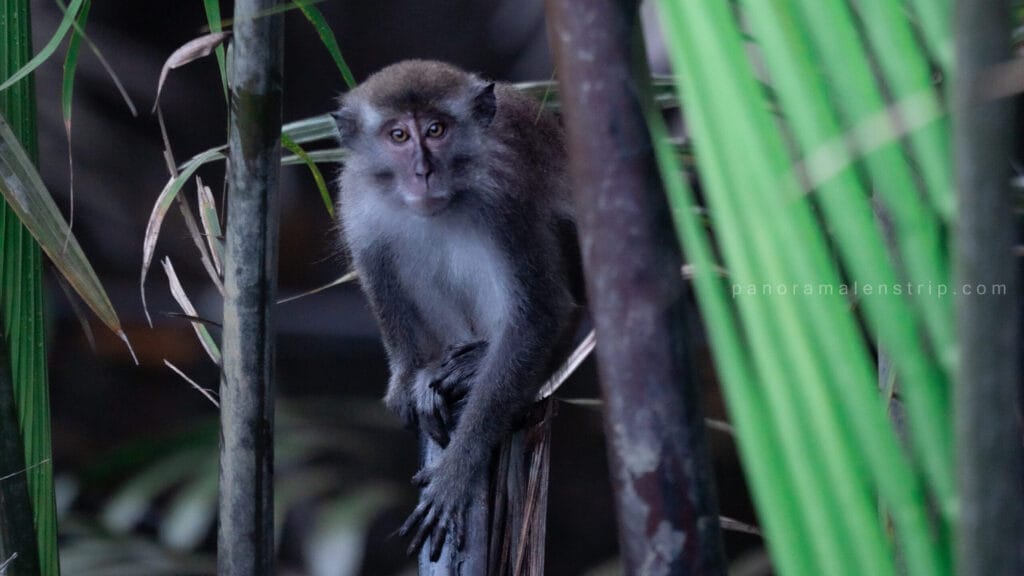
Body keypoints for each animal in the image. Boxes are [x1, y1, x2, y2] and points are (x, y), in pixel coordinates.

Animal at [332, 60, 583, 560]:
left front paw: (459, 469)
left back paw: (475, 364)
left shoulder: (506, 200)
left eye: (436, 129)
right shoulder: (357, 197)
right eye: (398, 136)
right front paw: (408, 377)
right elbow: (376, 271)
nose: (423, 170)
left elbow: (541, 314)